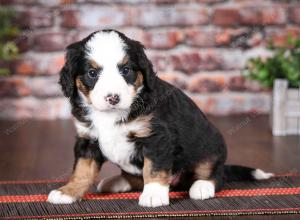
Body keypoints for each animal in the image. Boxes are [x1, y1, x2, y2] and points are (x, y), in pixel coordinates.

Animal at [47, 29, 274, 208]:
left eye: (126, 70)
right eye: (92, 73)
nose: (113, 98)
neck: (111, 115)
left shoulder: (157, 137)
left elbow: (154, 169)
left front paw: (154, 194)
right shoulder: (87, 139)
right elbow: (82, 170)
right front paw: (68, 192)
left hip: (211, 146)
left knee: (216, 174)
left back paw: (202, 186)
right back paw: (116, 182)